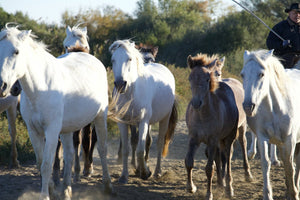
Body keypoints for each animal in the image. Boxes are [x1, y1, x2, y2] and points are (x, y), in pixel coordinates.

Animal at [0, 25, 112, 199]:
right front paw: (53, 190)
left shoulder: (52, 131)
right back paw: (66, 190)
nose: (3, 86)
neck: (40, 88)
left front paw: (45, 195)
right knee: (70, 155)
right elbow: (41, 163)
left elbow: (47, 164)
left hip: (100, 117)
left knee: (101, 148)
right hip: (67, 129)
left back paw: (107, 186)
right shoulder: (34, 131)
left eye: (16, 51)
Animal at [108, 39, 177, 183]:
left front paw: (145, 172)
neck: (131, 93)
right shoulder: (123, 122)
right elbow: (126, 149)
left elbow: (140, 150)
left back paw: (157, 172)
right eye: (113, 60)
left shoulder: (143, 121)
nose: (120, 84)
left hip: (164, 119)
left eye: (129, 59)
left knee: (159, 142)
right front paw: (124, 176)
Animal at [241, 49, 300, 200]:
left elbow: (289, 166)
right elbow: (265, 163)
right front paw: (268, 194)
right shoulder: (263, 137)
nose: (248, 106)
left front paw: (294, 193)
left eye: (261, 74)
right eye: (242, 74)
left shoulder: (290, 140)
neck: (276, 108)